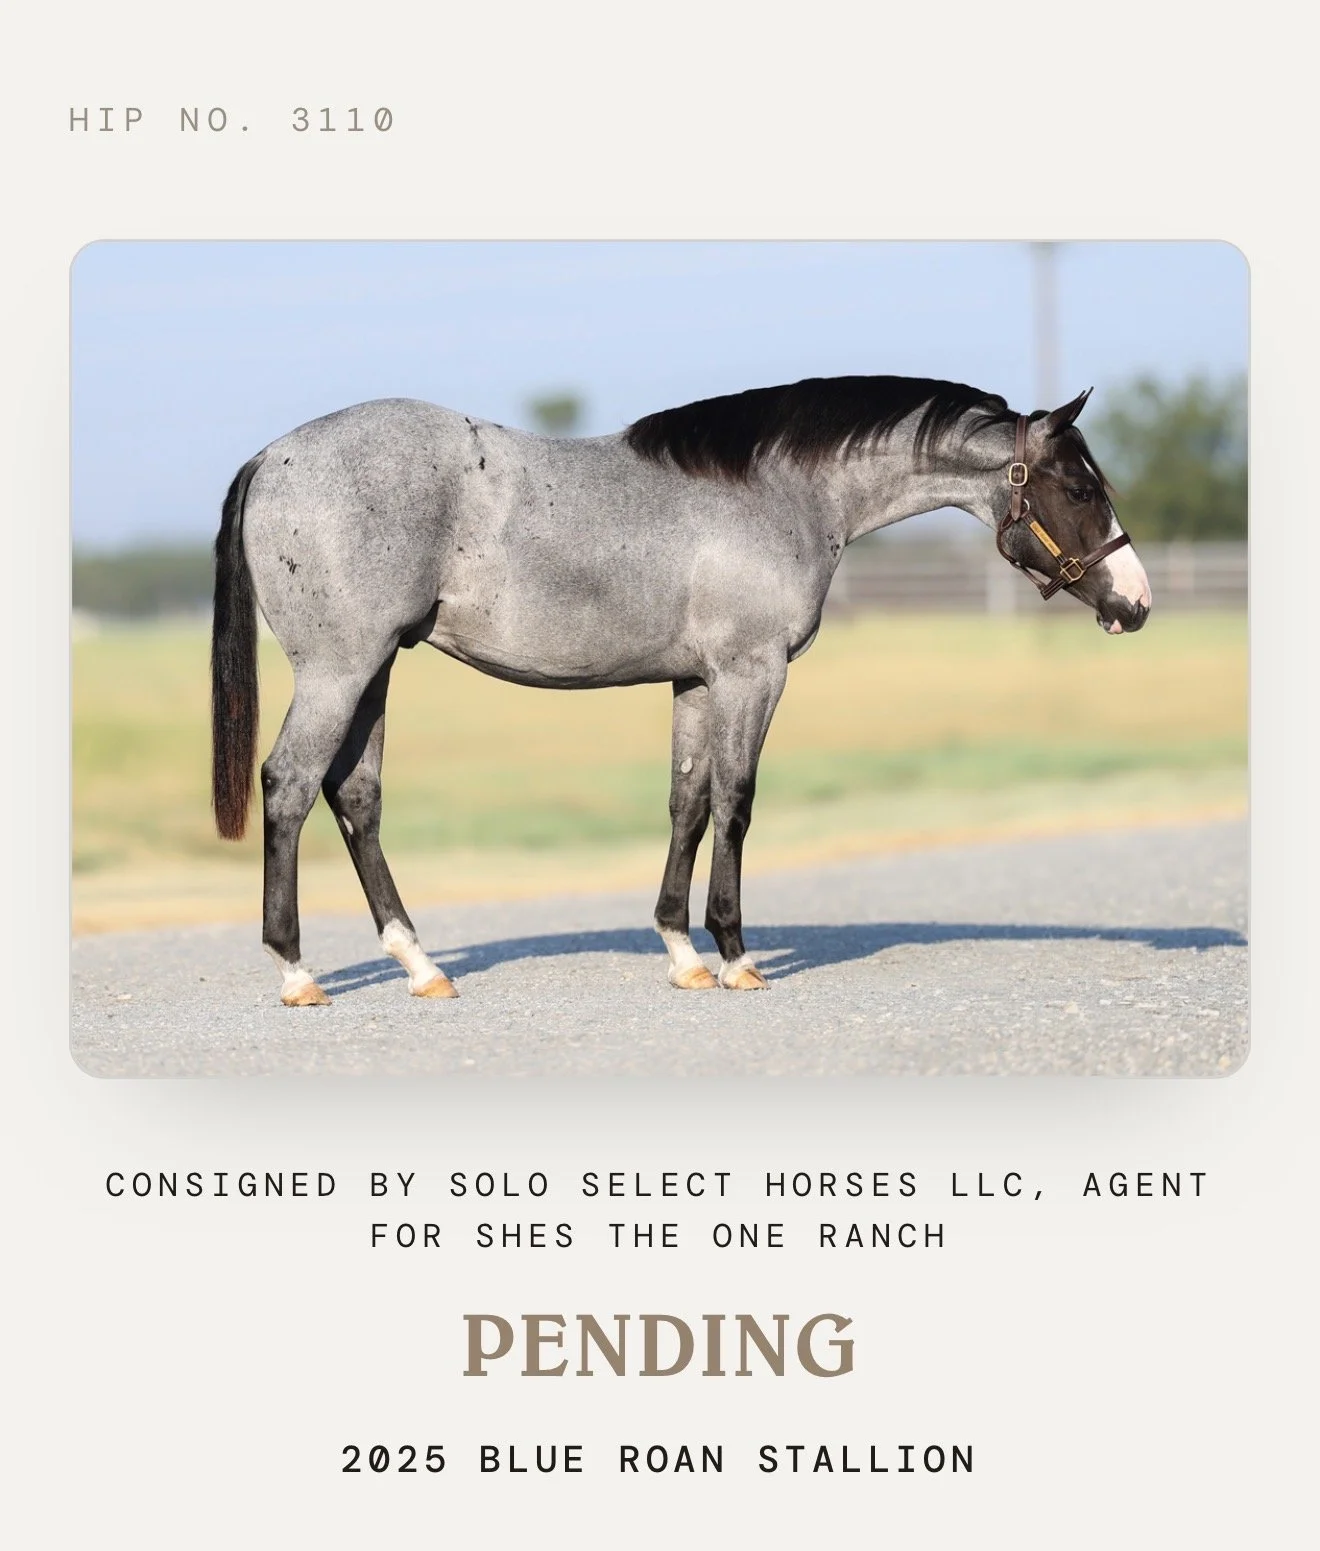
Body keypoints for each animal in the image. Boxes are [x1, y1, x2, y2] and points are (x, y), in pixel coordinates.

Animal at [210, 375, 1152, 1006]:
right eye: (1080, 487)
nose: (1136, 603)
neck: (778, 492)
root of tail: (271, 457)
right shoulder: (751, 672)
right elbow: (735, 801)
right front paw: (735, 953)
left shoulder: (696, 681)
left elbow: (687, 802)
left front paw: (682, 950)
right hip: (341, 667)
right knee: (290, 785)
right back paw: (297, 971)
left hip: (375, 668)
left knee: (356, 797)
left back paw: (421, 965)